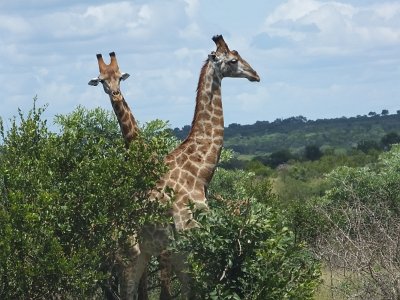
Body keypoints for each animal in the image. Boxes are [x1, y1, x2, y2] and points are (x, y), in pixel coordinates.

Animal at [120, 34, 260, 298]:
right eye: (233, 60)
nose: (255, 74)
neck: (198, 172)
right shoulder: (187, 245)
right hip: (131, 252)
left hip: (143, 251)